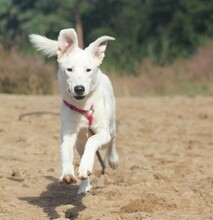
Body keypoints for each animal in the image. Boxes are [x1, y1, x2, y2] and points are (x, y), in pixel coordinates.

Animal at [29, 28, 120, 193]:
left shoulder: (102, 132)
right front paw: (68, 174)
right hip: (79, 143)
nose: (79, 89)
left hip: (110, 127)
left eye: (88, 70)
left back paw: (113, 160)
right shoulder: (69, 134)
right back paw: (84, 186)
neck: (83, 107)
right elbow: (65, 151)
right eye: (69, 69)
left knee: (112, 141)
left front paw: (85, 166)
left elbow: (92, 141)